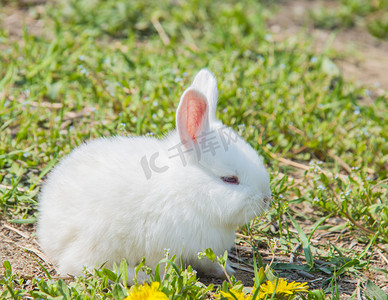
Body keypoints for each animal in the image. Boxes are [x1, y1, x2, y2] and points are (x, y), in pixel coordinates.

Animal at [38, 69, 272, 282]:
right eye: (230, 179)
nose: (266, 199)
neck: (186, 192)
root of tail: (47, 226)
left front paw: (226, 271)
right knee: (80, 266)